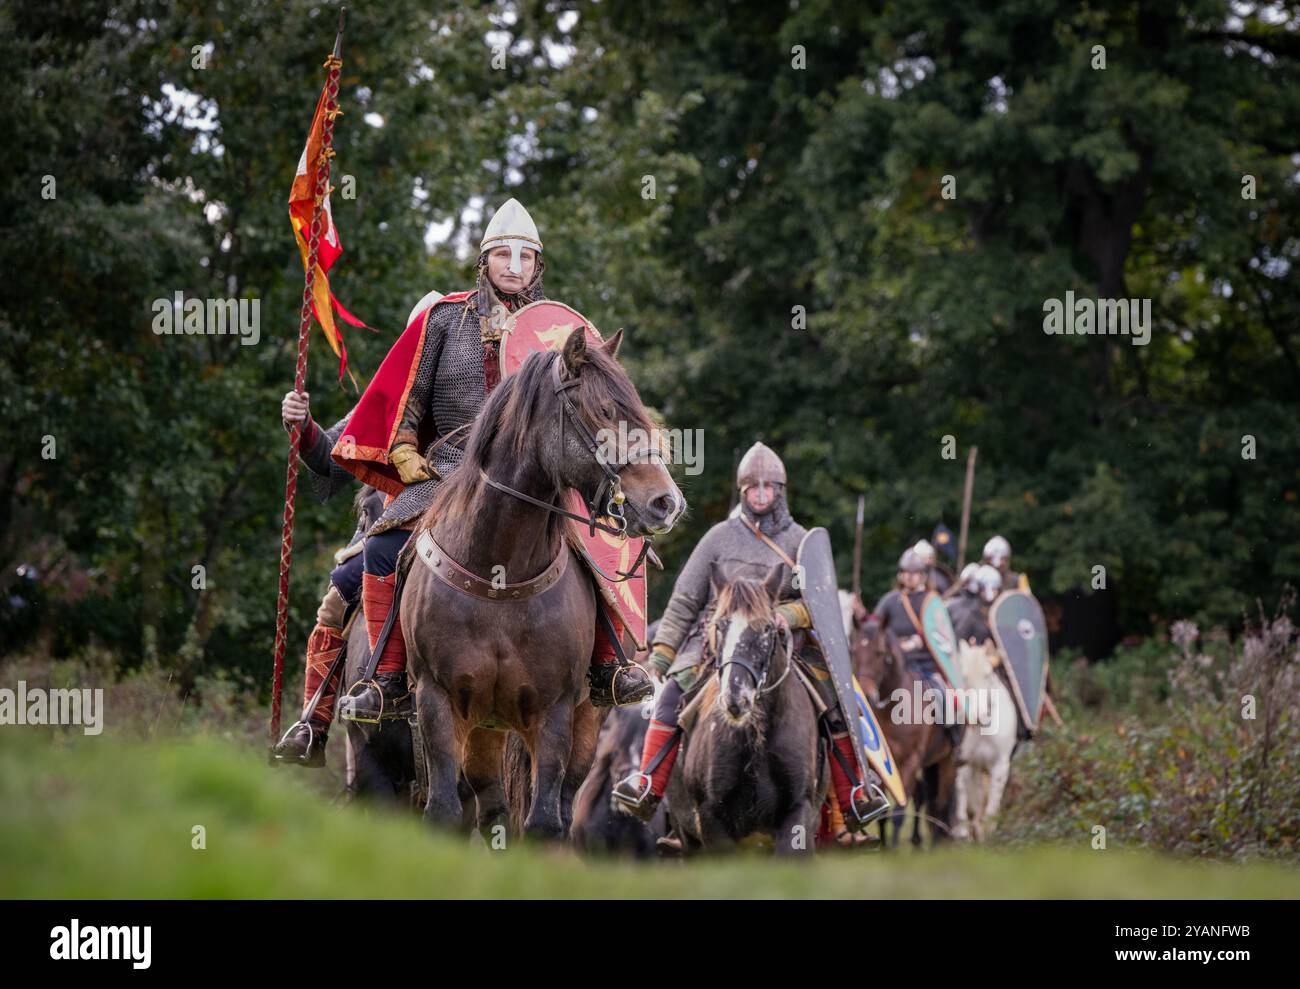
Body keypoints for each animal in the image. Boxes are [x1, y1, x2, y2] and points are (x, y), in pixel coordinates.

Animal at [400, 327, 686, 836]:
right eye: (604, 411)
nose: (665, 503)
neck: (499, 571)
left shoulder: (555, 710)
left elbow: (545, 820)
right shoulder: (436, 699)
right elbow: (445, 811)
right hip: (484, 728)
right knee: (492, 808)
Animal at [951, 639, 1019, 842]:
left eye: (988, 674)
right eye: (964, 676)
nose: (978, 716)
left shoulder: (1000, 765)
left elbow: (992, 803)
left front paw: (988, 831)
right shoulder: (967, 763)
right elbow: (968, 797)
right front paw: (967, 830)